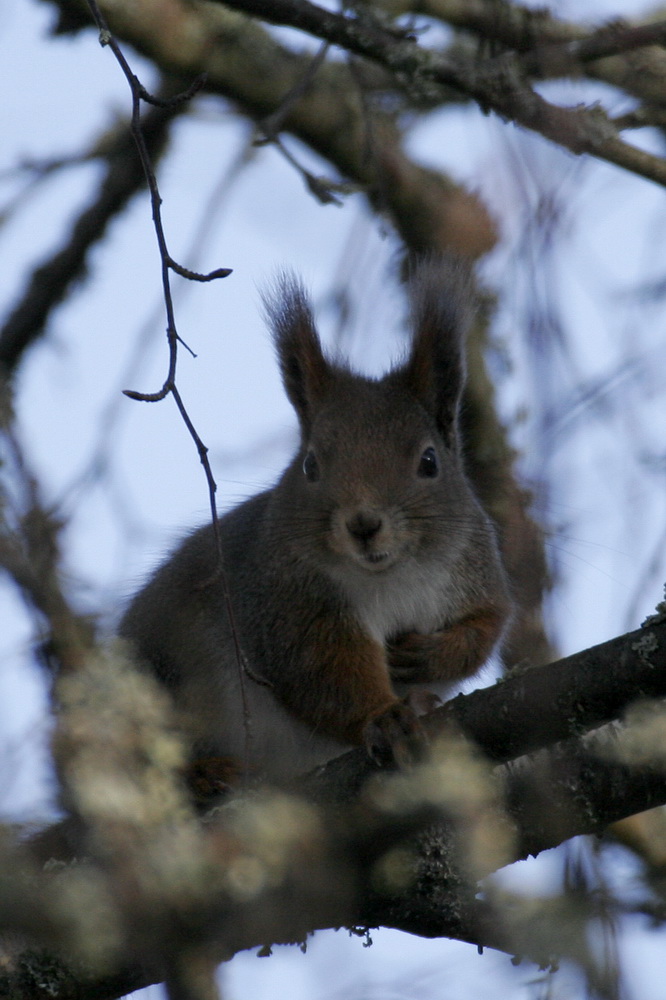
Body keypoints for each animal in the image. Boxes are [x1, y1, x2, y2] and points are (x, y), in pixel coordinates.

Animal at [119, 258, 510, 796]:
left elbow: (485, 629)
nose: (363, 524)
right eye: (309, 465)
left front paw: (429, 656)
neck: (390, 576)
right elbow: (323, 675)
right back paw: (208, 773)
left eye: (429, 461)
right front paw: (385, 717)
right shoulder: (284, 603)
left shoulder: (476, 568)